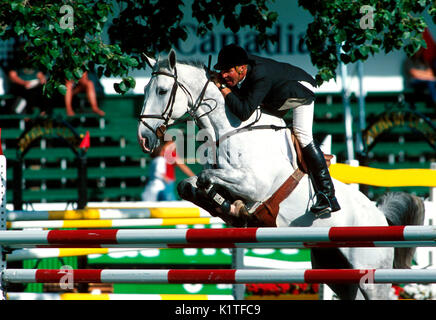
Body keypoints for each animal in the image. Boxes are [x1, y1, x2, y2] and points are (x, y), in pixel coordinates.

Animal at [138, 50, 424, 300]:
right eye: (144, 90)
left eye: (162, 91)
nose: (144, 138)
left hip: (372, 278)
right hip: (337, 272)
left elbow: (207, 177)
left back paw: (325, 201)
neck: (230, 131)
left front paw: (234, 208)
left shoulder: (253, 184)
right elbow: (188, 184)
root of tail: (380, 217)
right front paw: (226, 206)